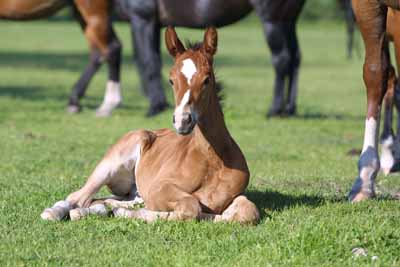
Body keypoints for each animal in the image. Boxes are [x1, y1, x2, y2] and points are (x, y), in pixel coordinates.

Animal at [39, 26, 260, 224]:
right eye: (171, 80)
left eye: (207, 79)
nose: (183, 120)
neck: (213, 161)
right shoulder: (159, 188)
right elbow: (191, 207)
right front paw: (126, 214)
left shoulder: (235, 196)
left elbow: (247, 212)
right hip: (110, 165)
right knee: (78, 197)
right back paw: (54, 213)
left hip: (131, 189)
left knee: (105, 200)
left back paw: (93, 211)